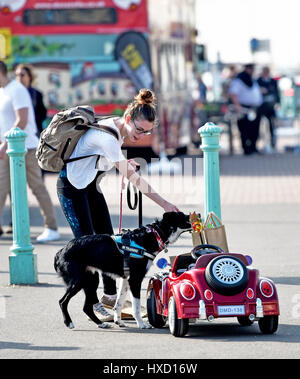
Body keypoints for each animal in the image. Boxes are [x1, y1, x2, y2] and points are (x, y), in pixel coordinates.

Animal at [54, 212, 191, 332]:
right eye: (183, 215)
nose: (195, 215)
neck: (152, 236)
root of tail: (60, 251)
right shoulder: (135, 279)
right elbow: (136, 306)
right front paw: (141, 324)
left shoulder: (125, 279)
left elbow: (118, 303)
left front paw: (118, 321)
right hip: (79, 281)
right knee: (62, 302)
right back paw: (69, 322)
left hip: (91, 280)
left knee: (86, 307)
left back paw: (101, 323)